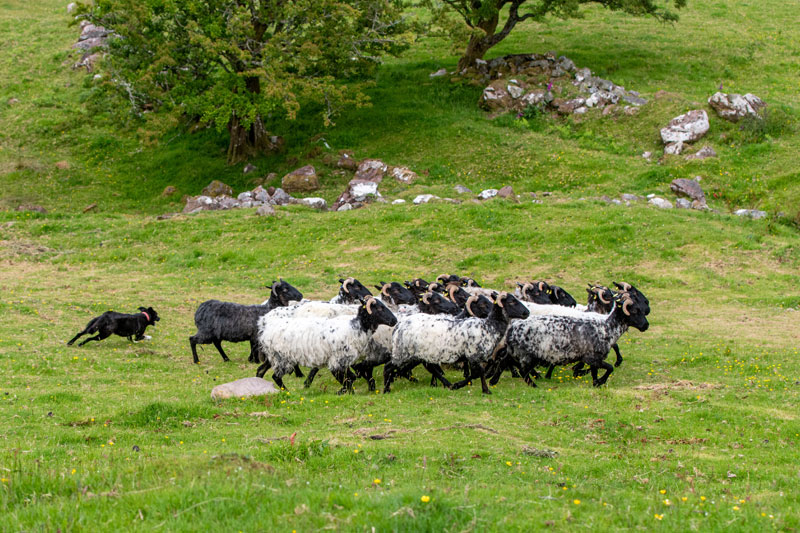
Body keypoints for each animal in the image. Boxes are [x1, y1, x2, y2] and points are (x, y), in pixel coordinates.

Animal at [256, 296, 397, 394]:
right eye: (379, 308)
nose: (394, 320)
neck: (356, 327)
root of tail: (264, 332)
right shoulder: (337, 360)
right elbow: (347, 379)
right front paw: (345, 392)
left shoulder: (343, 362)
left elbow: (350, 378)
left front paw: (345, 392)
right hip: (282, 358)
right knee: (276, 376)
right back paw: (287, 391)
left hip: (273, 357)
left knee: (261, 370)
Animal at [384, 292, 530, 394]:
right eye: (512, 302)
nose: (527, 312)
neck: (489, 326)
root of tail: (399, 325)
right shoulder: (473, 355)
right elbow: (478, 373)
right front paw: (484, 390)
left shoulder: (475, 357)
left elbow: (476, 374)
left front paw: (460, 386)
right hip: (402, 353)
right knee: (388, 367)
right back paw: (386, 389)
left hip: (417, 355)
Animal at [503, 289, 650, 387]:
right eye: (635, 311)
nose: (646, 325)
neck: (607, 327)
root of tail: (513, 328)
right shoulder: (591, 357)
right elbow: (609, 368)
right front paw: (600, 381)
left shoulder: (594, 358)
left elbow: (595, 372)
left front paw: (595, 383)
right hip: (528, 353)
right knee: (523, 370)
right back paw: (534, 383)